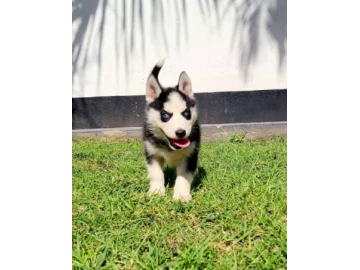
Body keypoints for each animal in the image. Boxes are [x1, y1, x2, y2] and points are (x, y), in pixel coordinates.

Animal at [143, 59, 200, 202]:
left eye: (186, 113)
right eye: (165, 115)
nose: (180, 132)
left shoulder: (190, 155)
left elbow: (184, 177)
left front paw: (181, 195)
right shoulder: (153, 154)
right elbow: (156, 174)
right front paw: (156, 191)